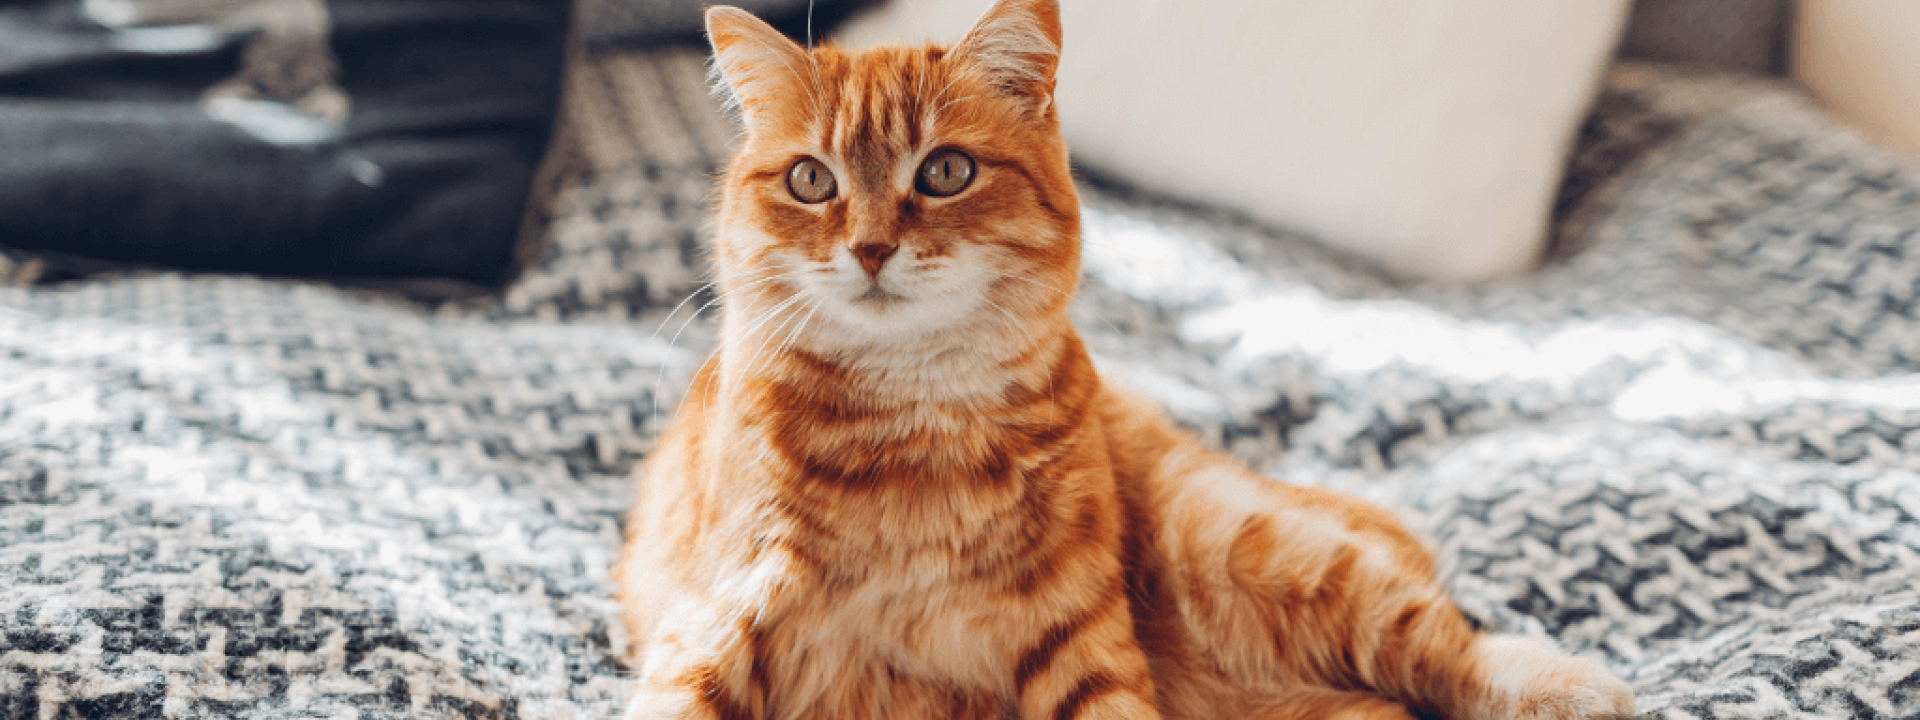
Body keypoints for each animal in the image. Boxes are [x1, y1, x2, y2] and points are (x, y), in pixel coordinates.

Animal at [614, 2, 1635, 718]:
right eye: (810, 180)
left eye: (944, 172)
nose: (869, 248)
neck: (915, 423)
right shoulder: (715, 620)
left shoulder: (1075, 635)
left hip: (1242, 540)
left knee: (1445, 643)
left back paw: (1569, 688)